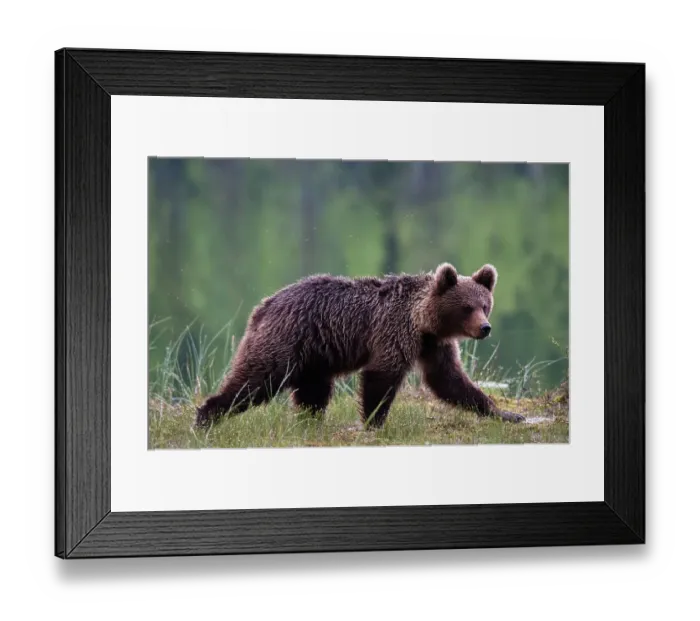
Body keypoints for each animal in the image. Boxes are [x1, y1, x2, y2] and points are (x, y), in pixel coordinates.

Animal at [194, 262, 525, 429]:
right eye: (467, 307)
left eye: (485, 305)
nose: (485, 328)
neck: (423, 321)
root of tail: (263, 306)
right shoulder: (394, 331)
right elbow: (382, 375)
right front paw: (373, 422)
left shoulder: (433, 346)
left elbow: (449, 381)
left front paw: (506, 413)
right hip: (284, 342)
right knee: (255, 380)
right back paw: (206, 417)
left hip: (314, 357)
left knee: (313, 393)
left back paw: (310, 422)